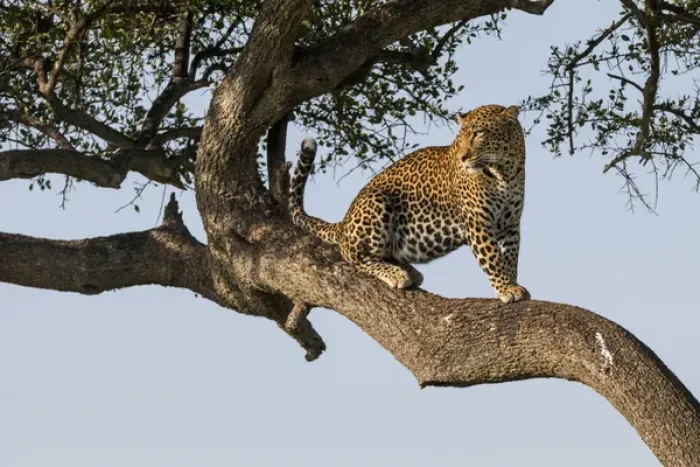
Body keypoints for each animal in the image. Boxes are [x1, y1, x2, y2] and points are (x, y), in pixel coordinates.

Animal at [288, 103, 530, 303]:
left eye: (479, 134)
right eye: (460, 138)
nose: (462, 158)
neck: (504, 173)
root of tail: (344, 222)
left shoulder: (510, 225)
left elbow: (510, 258)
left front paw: (512, 283)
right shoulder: (478, 223)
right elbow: (492, 258)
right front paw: (507, 288)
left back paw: (409, 271)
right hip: (376, 202)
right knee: (355, 257)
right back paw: (396, 273)